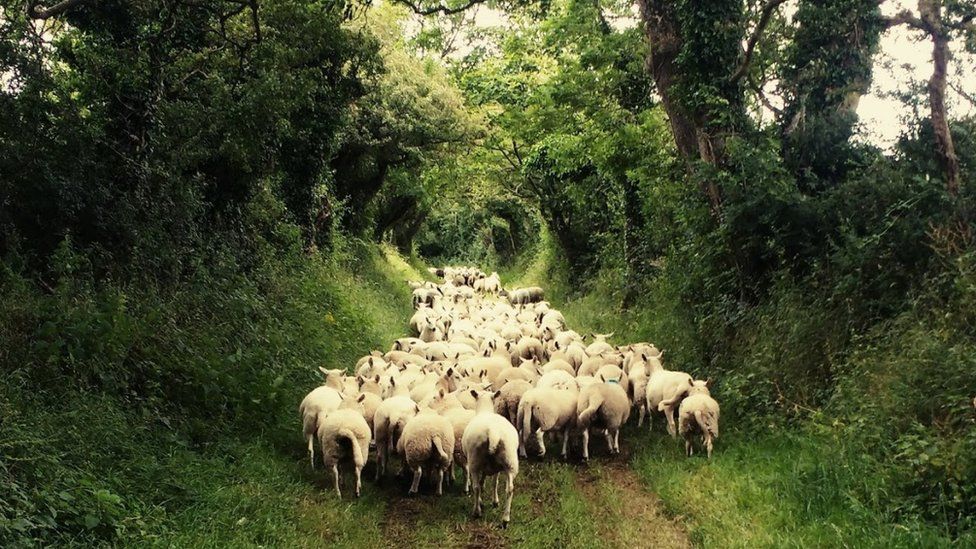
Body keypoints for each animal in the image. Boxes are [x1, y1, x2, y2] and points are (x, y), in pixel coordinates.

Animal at [462, 390, 520, 527]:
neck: (485, 410)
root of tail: (492, 432)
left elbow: (481, 484)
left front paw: (482, 502)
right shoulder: (496, 467)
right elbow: (494, 483)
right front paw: (495, 501)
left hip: (474, 460)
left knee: (475, 487)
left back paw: (476, 511)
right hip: (510, 462)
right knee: (509, 489)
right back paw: (505, 519)